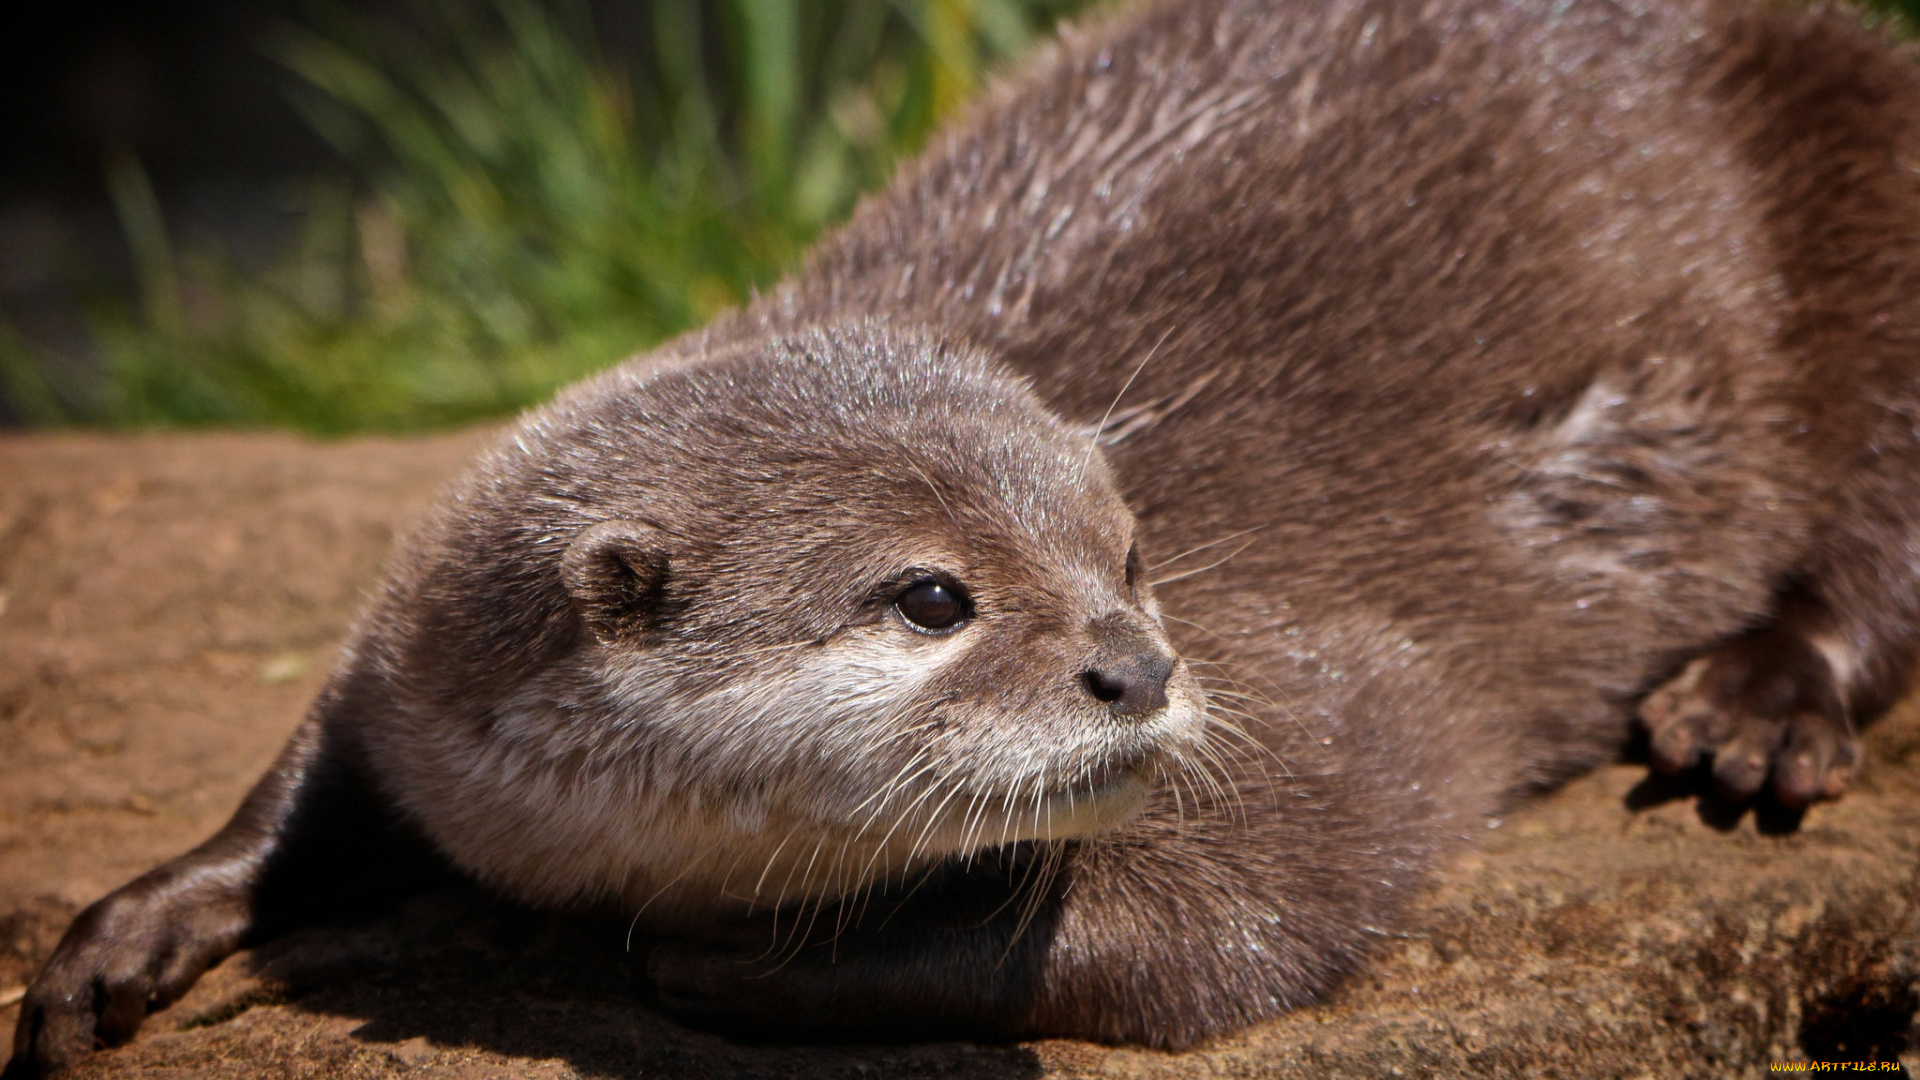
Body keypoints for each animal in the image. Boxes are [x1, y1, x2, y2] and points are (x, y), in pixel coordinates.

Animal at [13, 0, 1920, 1072]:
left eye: (1133, 555)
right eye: (934, 596)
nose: (1138, 671)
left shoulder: (1327, 702)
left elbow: (1221, 918)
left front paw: (727, 961)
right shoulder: (420, 658)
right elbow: (320, 771)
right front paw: (134, 927)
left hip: (1867, 170)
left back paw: (1750, 710)